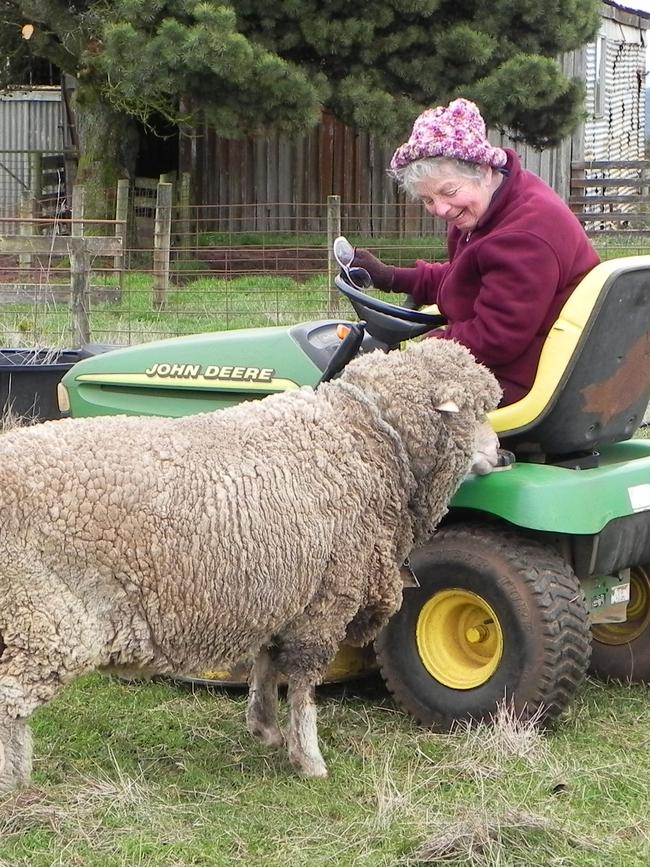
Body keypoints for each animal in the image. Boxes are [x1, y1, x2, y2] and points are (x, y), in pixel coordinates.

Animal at [0, 340, 502, 792]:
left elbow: (266, 661)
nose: (504, 455)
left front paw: (264, 728)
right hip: (42, 616)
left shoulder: (281, 588)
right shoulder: (326, 599)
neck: (362, 437)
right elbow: (302, 682)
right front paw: (308, 757)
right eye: (476, 412)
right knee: (10, 702)